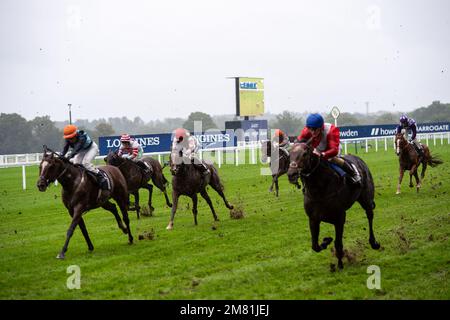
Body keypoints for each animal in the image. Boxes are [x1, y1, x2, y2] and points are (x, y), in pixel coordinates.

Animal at [288, 142, 380, 270]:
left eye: (305, 154)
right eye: (289, 153)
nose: (291, 174)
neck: (319, 190)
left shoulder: (339, 218)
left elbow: (338, 243)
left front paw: (340, 264)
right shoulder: (313, 219)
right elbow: (315, 246)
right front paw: (326, 240)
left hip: (366, 199)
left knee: (370, 216)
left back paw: (373, 242)